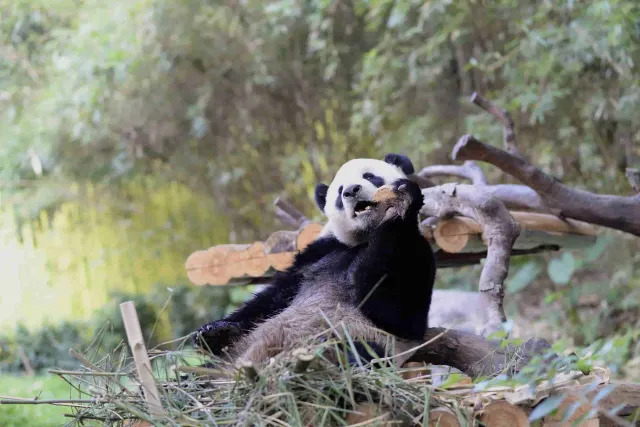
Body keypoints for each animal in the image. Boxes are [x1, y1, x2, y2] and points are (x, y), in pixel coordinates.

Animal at [194, 155, 436, 368]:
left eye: (370, 176)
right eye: (339, 192)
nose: (351, 191)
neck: (364, 237)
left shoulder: (416, 254)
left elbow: (397, 311)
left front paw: (401, 203)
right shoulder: (318, 253)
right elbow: (270, 299)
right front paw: (215, 332)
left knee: (358, 353)